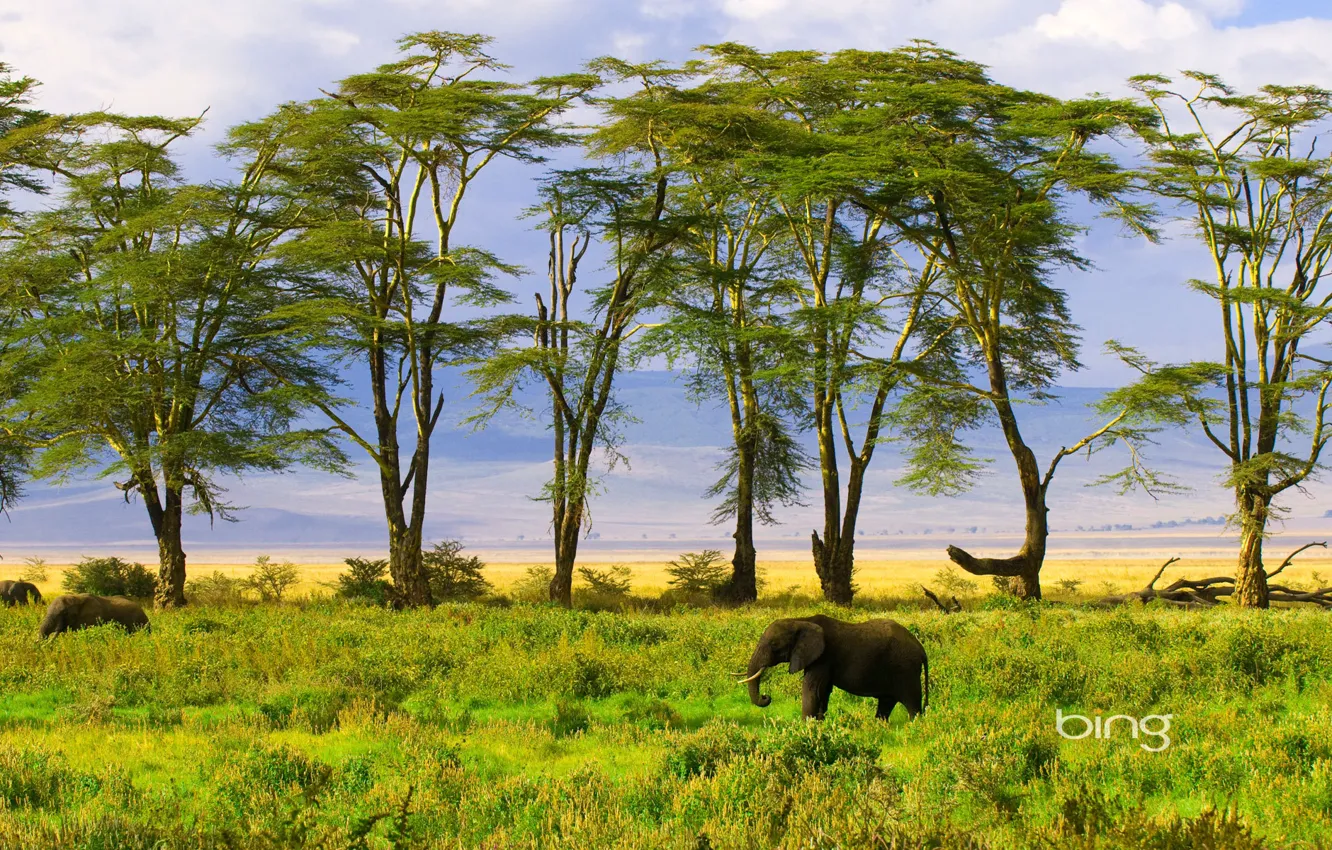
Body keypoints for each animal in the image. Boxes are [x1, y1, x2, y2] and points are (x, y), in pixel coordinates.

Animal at [740, 614, 928, 721]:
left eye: (774, 645)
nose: (766, 697)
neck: (801, 621)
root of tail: (920, 648)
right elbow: (823, 692)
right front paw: (818, 724)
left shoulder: (824, 657)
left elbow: (812, 689)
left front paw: (805, 727)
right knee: (886, 703)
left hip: (906, 670)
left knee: (912, 704)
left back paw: (915, 727)